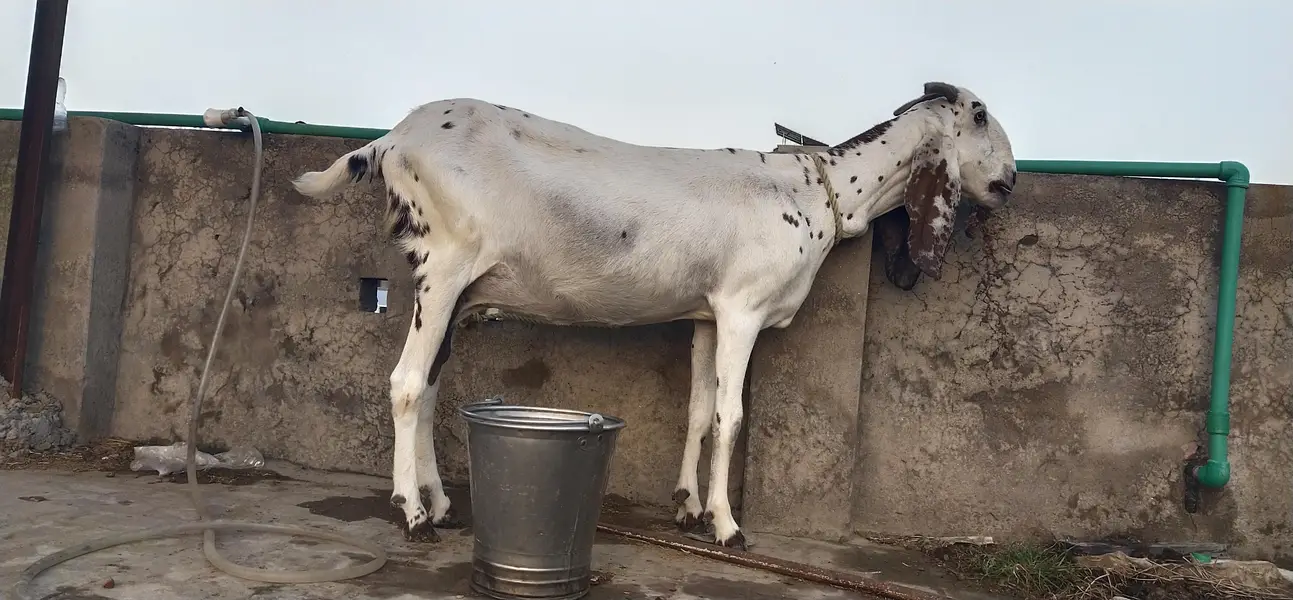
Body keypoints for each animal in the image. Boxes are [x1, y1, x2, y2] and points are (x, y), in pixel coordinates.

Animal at [292, 81, 1017, 549]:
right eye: (979, 113)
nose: (1009, 180)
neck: (818, 190)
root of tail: (390, 141)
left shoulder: (706, 314)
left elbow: (697, 411)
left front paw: (687, 508)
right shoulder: (742, 307)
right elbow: (730, 416)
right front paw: (727, 525)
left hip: (452, 286)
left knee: (432, 384)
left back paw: (440, 505)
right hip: (443, 266)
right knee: (406, 384)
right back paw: (411, 515)